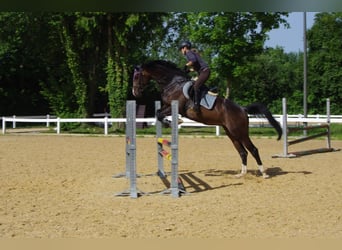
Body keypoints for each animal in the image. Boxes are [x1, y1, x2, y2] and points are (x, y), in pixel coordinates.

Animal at [132, 59, 282, 179]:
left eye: (137, 76)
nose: (135, 93)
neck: (172, 83)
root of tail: (242, 109)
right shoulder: (166, 106)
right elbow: (158, 113)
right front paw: (170, 122)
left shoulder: (176, 107)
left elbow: (160, 115)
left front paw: (176, 121)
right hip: (231, 133)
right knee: (243, 152)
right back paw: (241, 174)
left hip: (240, 132)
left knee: (253, 149)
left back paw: (264, 173)